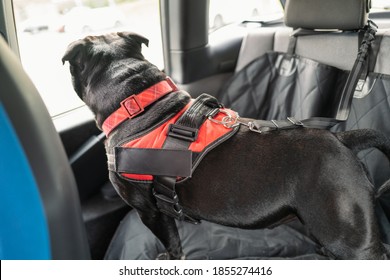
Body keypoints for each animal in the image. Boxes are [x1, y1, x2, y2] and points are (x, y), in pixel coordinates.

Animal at [62, 32, 390, 260]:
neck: (138, 104)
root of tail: (342, 139)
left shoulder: (150, 211)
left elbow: (172, 242)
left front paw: (168, 259)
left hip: (349, 237)